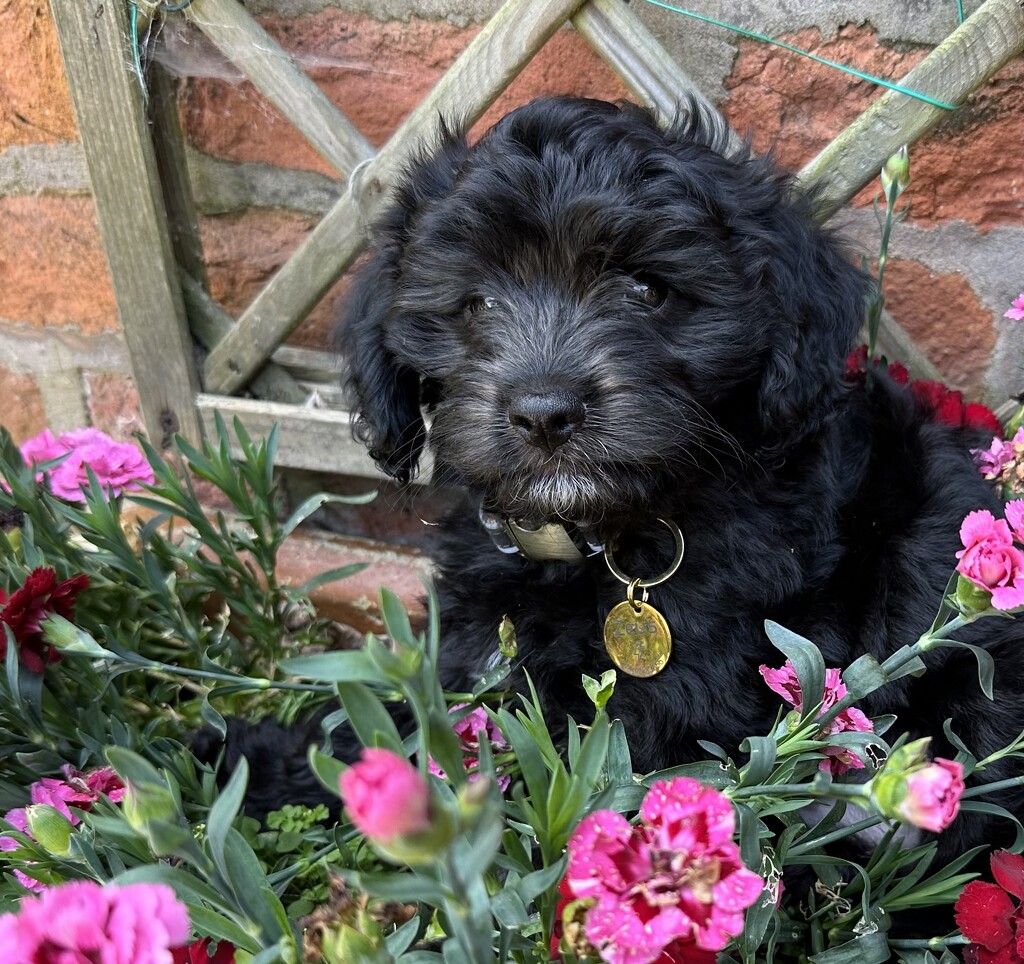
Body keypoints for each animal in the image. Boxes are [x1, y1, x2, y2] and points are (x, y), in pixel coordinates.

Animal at [234, 94, 1024, 852]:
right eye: (476, 303)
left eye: (647, 289)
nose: (543, 411)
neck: (603, 537)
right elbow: (412, 716)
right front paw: (267, 759)